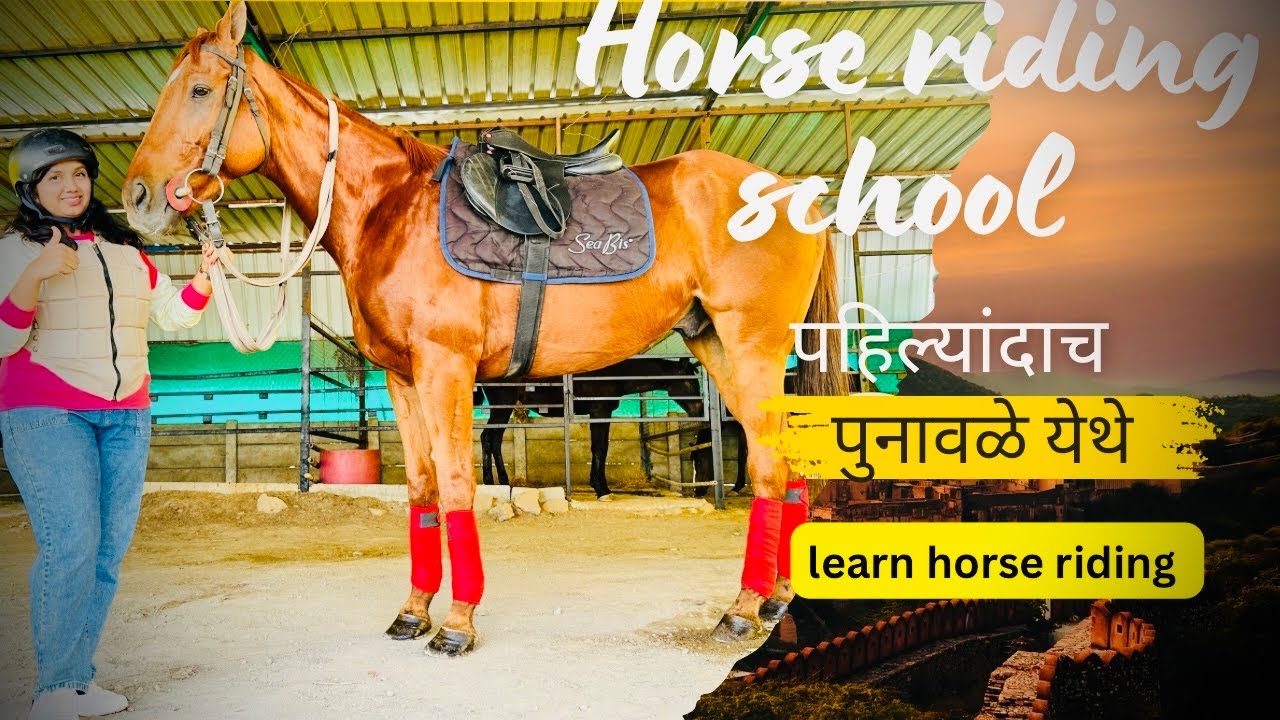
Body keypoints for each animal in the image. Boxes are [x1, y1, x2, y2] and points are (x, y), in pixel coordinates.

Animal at [474, 357, 709, 499]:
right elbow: (600, 449)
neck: (615, 373)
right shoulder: (600, 412)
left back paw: (503, 482)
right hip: (502, 406)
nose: (700, 410)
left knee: (494, 440)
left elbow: (599, 448)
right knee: (488, 438)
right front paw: (602, 489)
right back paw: (491, 483)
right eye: (690, 381)